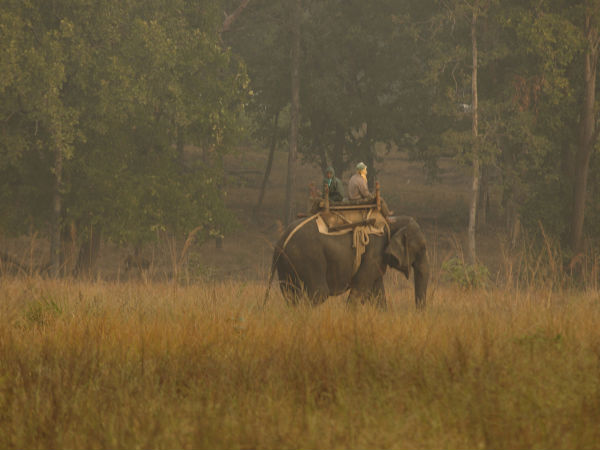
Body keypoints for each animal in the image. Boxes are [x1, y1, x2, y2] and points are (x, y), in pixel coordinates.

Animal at [266, 215, 426, 310]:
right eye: (422, 248)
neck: (391, 222)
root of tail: (281, 240)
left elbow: (377, 292)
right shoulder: (374, 253)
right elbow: (360, 288)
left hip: (287, 264)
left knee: (290, 295)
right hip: (309, 257)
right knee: (318, 293)